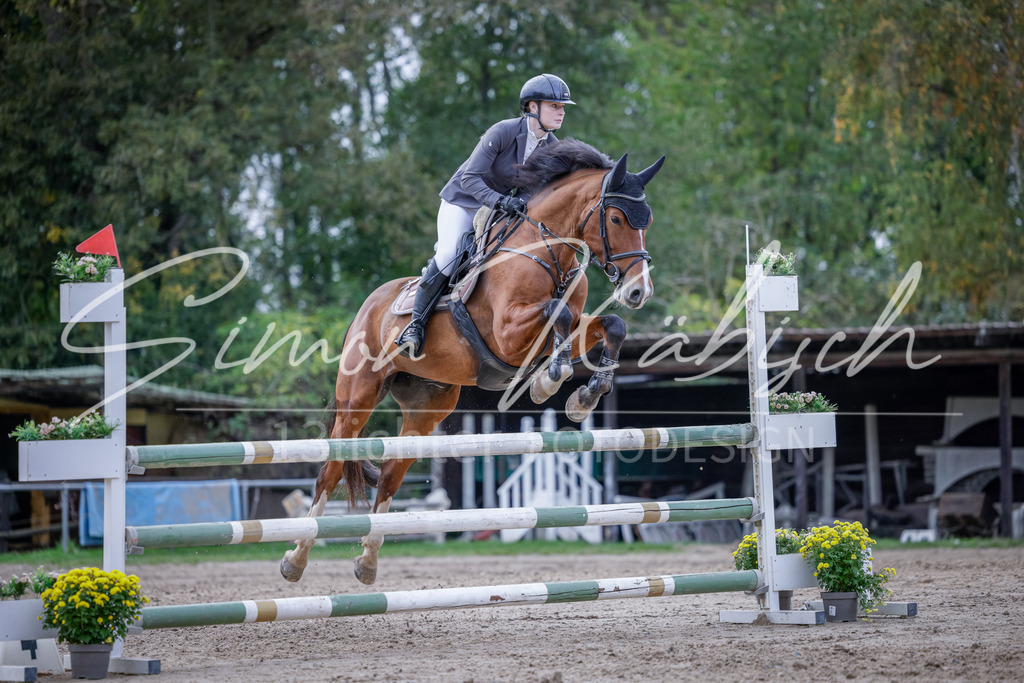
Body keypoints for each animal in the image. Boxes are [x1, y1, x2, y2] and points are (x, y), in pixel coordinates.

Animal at [281, 139, 665, 585]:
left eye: (647, 220)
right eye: (617, 217)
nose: (639, 292)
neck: (546, 250)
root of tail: (369, 304)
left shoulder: (574, 322)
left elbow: (610, 325)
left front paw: (582, 395)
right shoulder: (507, 334)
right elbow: (556, 313)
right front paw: (551, 380)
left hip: (426, 408)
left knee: (391, 473)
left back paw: (368, 561)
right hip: (357, 397)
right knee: (331, 469)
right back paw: (295, 559)